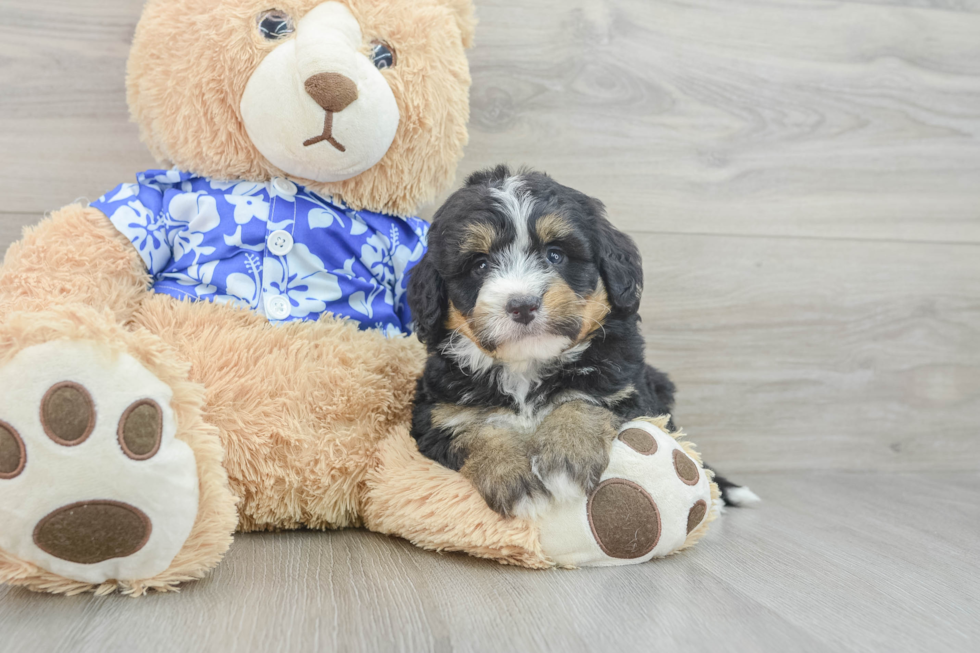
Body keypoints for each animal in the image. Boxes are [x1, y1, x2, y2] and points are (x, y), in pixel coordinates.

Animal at [404, 166, 752, 516]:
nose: (523, 304)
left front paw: (565, 461)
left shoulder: (628, 389)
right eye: (480, 265)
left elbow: (581, 399)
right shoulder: (436, 414)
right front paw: (513, 480)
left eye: (555, 255)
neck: (527, 366)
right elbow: (474, 430)